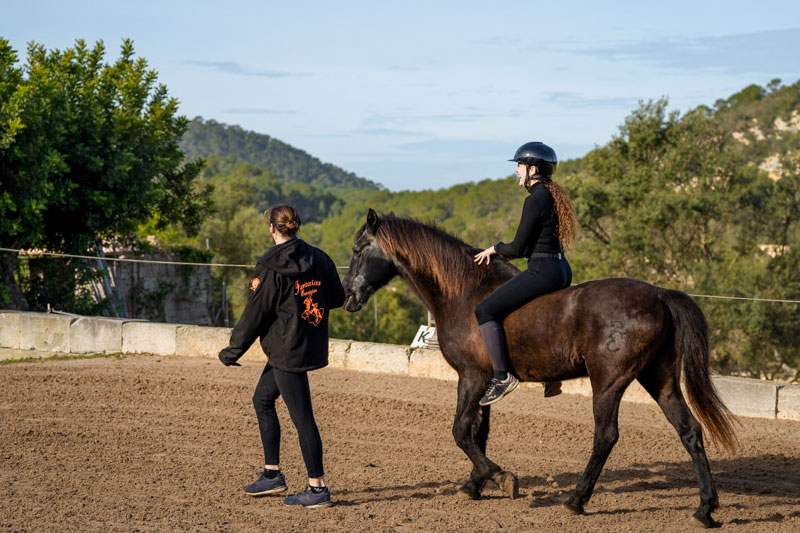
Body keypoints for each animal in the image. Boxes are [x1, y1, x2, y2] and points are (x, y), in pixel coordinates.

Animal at [341, 209, 737, 529]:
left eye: (359, 250)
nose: (347, 297)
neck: (464, 292)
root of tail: (658, 294)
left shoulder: (471, 376)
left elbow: (460, 431)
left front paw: (502, 478)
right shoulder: (486, 383)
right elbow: (479, 432)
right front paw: (475, 485)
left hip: (609, 383)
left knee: (605, 436)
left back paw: (576, 500)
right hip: (659, 379)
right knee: (689, 431)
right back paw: (705, 510)